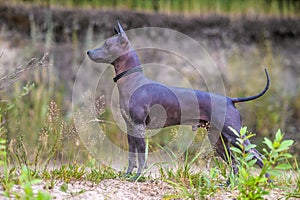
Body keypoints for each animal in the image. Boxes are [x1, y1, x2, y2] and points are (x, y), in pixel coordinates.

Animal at [86, 21, 270, 180]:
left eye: (107, 44)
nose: (88, 52)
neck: (133, 80)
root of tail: (230, 99)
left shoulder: (139, 127)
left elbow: (141, 156)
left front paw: (137, 177)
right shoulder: (130, 128)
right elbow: (132, 156)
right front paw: (127, 175)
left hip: (235, 136)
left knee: (258, 156)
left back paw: (266, 181)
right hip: (217, 139)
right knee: (234, 162)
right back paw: (228, 185)